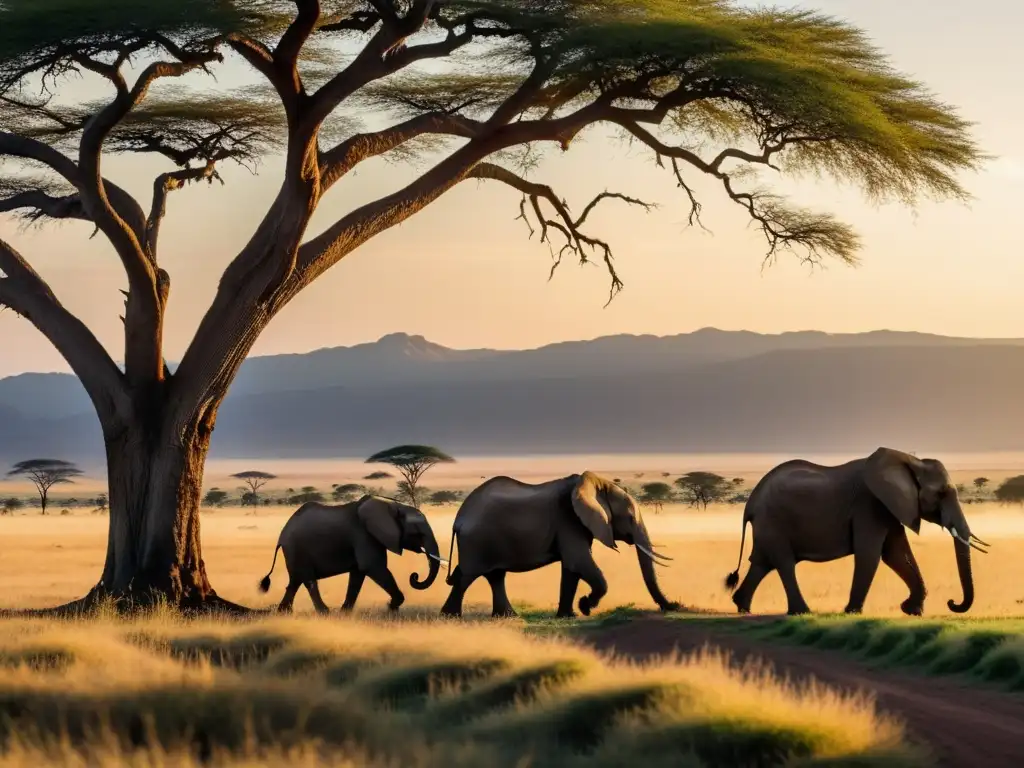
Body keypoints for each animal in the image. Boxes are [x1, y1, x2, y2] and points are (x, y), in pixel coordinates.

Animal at [256, 495, 444, 618]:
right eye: (417, 533)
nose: (415, 576)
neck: (394, 505)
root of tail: (282, 535)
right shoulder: (363, 535)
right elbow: (372, 567)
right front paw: (392, 607)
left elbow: (358, 574)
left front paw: (345, 612)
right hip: (297, 548)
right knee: (308, 580)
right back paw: (324, 613)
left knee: (295, 581)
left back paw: (284, 612)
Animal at [434, 473, 679, 622]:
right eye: (629, 517)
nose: (674, 606)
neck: (595, 484)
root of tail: (459, 519)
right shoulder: (569, 519)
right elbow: (579, 562)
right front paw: (585, 607)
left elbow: (572, 569)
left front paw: (568, 616)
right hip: (477, 541)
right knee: (468, 577)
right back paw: (450, 617)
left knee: (495, 576)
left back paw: (507, 617)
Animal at [724, 444, 987, 618]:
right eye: (941, 494)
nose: (951, 602)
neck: (911, 462)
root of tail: (750, 504)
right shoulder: (869, 505)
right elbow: (871, 554)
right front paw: (852, 612)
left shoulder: (888, 507)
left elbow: (895, 553)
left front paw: (912, 611)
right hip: (773, 522)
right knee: (784, 563)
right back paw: (802, 612)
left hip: (768, 525)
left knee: (761, 562)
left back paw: (743, 607)